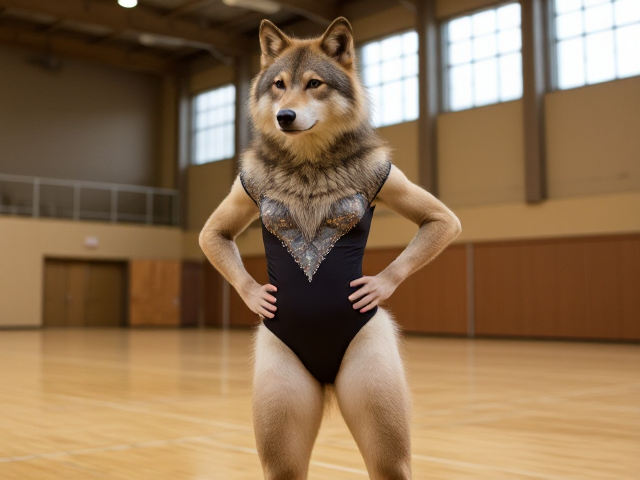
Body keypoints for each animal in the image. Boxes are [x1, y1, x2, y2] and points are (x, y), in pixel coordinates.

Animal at [199, 17, 461, 480]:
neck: (308, 164)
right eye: (279, 85)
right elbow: (212, 233)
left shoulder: (388, 175)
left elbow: (441, 219)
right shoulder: (242, 189)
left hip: (376, 395)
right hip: (282, 419)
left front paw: (375, 286)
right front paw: (258, 296)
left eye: (314, 83)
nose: (285, 116)